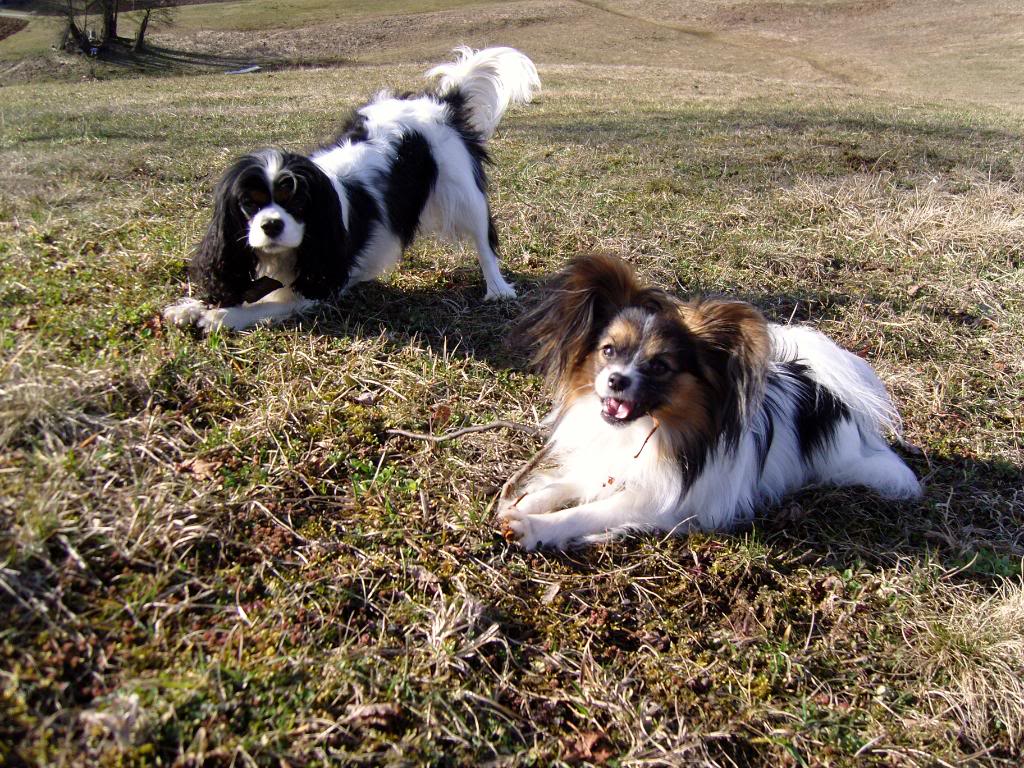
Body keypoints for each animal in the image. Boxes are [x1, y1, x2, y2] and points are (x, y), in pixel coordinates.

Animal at [163, 46, 540, 331]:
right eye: (249, 204)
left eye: (298, 203)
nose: (271, 225)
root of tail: (441, 103)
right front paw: (190, 306)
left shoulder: (314, 286)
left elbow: (263, 304)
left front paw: (219, 316)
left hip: (463, 193)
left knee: (483, 240)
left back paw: (497, 288)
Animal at [499, 256, 925, 548]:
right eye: (608, 350)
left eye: (660, 366)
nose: (616, 380)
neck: (643, 432)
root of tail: (828, 388)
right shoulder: (607, 467)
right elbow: (565, 484)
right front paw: (523, 502)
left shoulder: (658, 501)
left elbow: (586, 512)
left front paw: (537, 528)